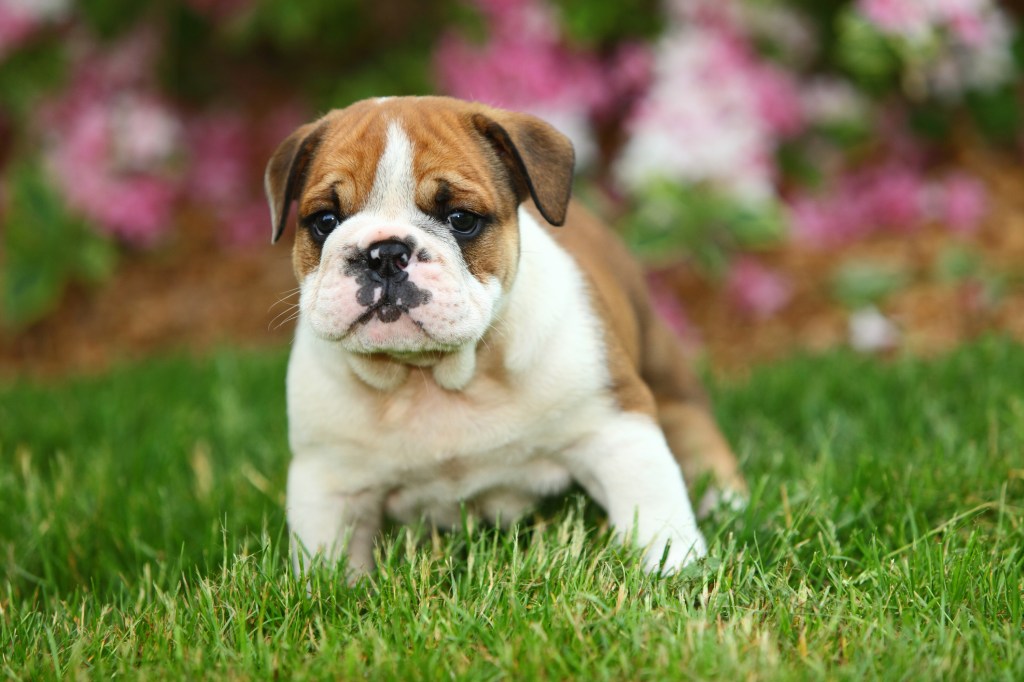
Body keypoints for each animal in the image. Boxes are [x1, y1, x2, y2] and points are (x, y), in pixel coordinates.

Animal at [264, 95, 745, 577]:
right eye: (325, 220)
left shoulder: (613, 426)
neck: (432, 376)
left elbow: (654, 507)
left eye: (461, 219)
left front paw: (675, 569)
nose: (385, 253)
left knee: (692, 423)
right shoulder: (328, 478)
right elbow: (326, 558)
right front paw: (333, 588)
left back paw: (727, 499)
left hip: (662, 366)